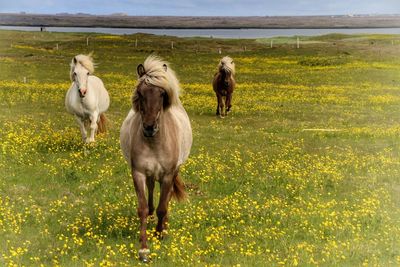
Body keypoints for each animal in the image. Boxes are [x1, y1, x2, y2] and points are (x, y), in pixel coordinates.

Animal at [119, 55, 193, 264]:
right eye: (140, 93)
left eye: (161, 94)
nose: (149, 128)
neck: (154, 142)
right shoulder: (138, 173)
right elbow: (143, 208)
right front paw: (144, 249)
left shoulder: (168, 174)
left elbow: (163, 207)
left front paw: (160, 234)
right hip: (151, 174)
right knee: (152, 190)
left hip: (172, 173)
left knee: (165, 199)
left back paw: (164, 226)